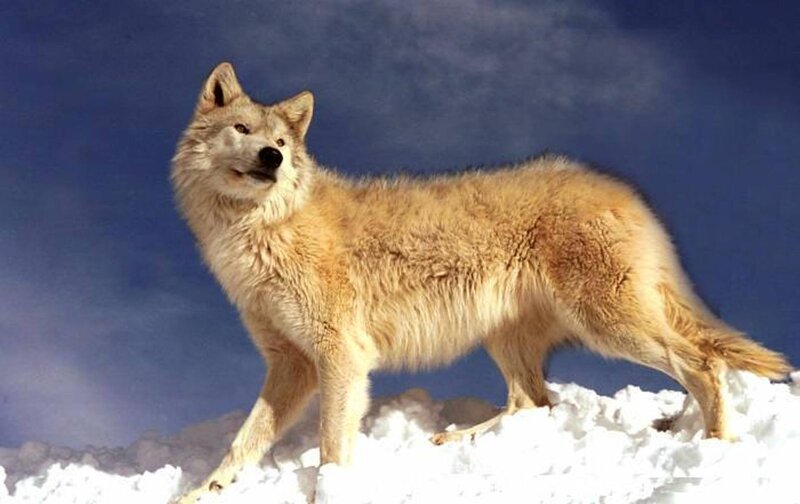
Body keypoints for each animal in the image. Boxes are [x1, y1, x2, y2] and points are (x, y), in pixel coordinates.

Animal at [171, 62, 790, 502]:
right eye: (242, 129)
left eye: (281, 143)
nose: (272, 158)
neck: (261, 230)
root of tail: (625, 192)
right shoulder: (292, 364)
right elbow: (242, 443)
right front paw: (201, 493)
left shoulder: (341, 356)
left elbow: (329, 451)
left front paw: (329, 492)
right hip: (506, 338)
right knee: (536, 401)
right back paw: (451, 438)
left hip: (609, 326)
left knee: (702, 362)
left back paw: (715, 445)